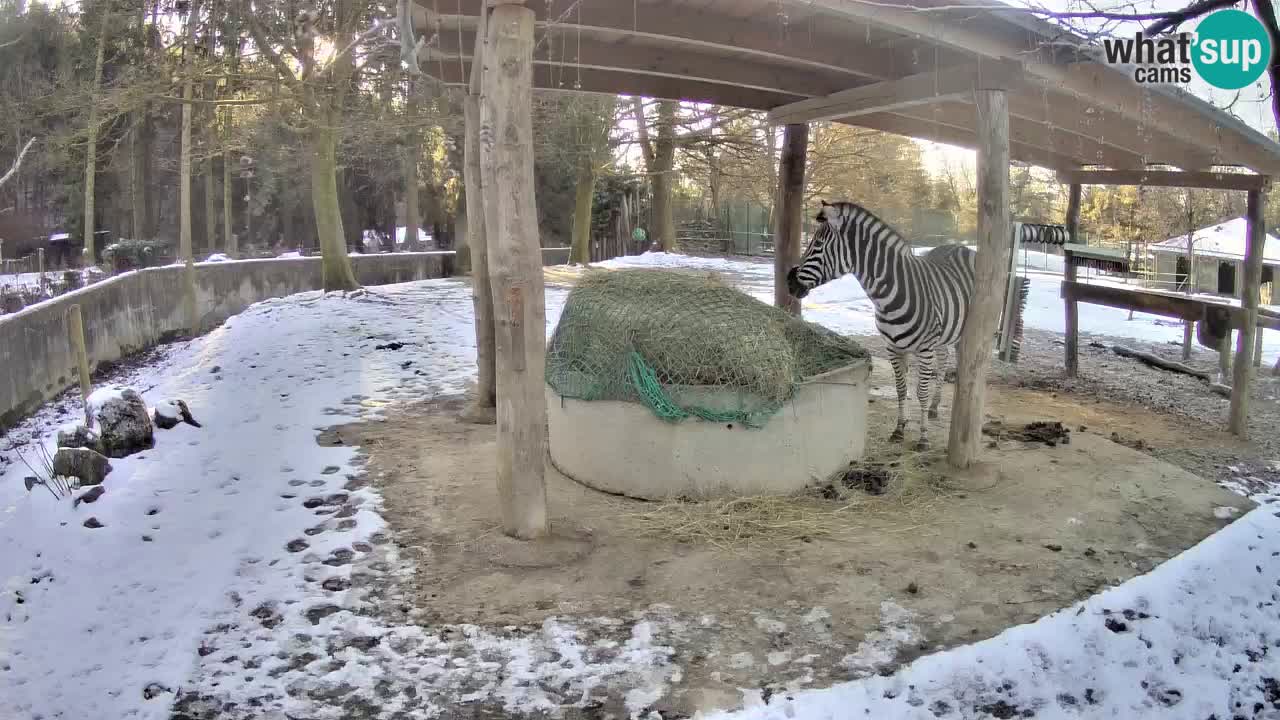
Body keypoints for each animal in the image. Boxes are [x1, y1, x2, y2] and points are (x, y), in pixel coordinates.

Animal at [783, 198, 972, 448]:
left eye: (817, 245)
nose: (789, 282)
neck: (891, 293)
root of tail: (961, 247)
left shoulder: (924, 349)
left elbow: (920, 391)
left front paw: (923, 437)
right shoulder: (893, 347)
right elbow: (901, 389)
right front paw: (899, 430)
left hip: (960, 332)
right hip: (942, 337)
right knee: (942, 361)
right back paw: (933, 407)